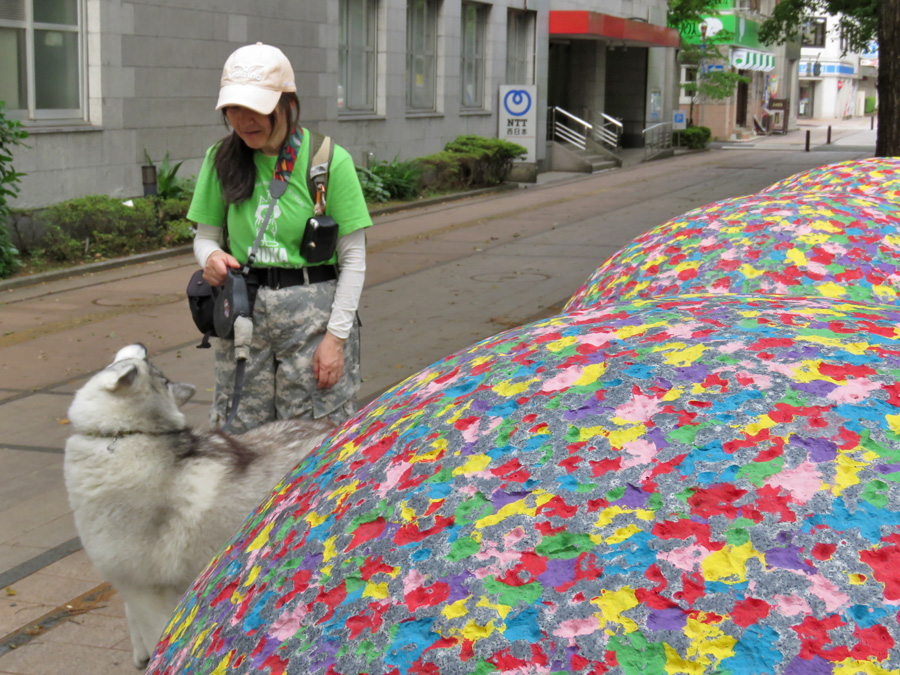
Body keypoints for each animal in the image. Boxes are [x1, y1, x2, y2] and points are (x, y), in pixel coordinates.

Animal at [64, 346, 334, 668]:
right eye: (165, 381)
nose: (140, 345)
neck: (127, 435)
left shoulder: (146, 592)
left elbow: (154, 632)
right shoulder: (132, 585)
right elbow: (132, 618)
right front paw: (140, 655)